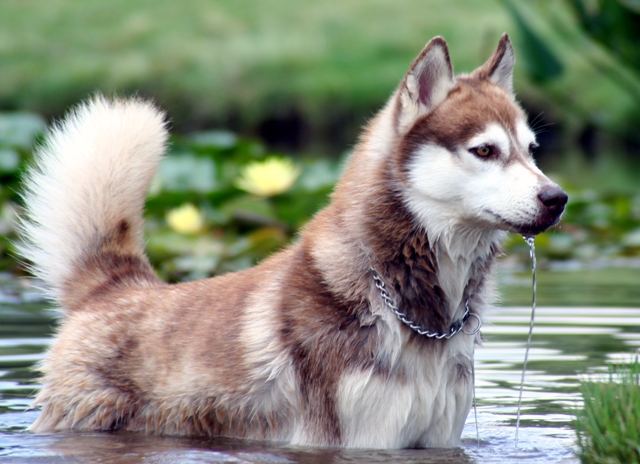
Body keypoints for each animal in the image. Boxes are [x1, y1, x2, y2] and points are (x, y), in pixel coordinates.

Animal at [20, 34, 568, 448]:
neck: (413, 313)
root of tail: (118, 286)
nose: (557, 197)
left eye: (531, 150)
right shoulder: (364, 438)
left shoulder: (436, 438)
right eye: (485, 150)